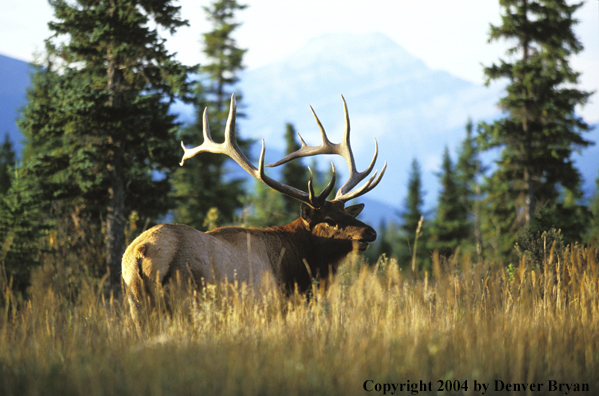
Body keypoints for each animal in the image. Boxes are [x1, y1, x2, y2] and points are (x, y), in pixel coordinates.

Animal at [120, 94, 390, 326]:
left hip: (137, 306)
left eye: (346, 213)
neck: (294, 269)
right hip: (188, 299)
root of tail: (141, 252)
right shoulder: (266, 306)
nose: (370, 233)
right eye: (329, 220)